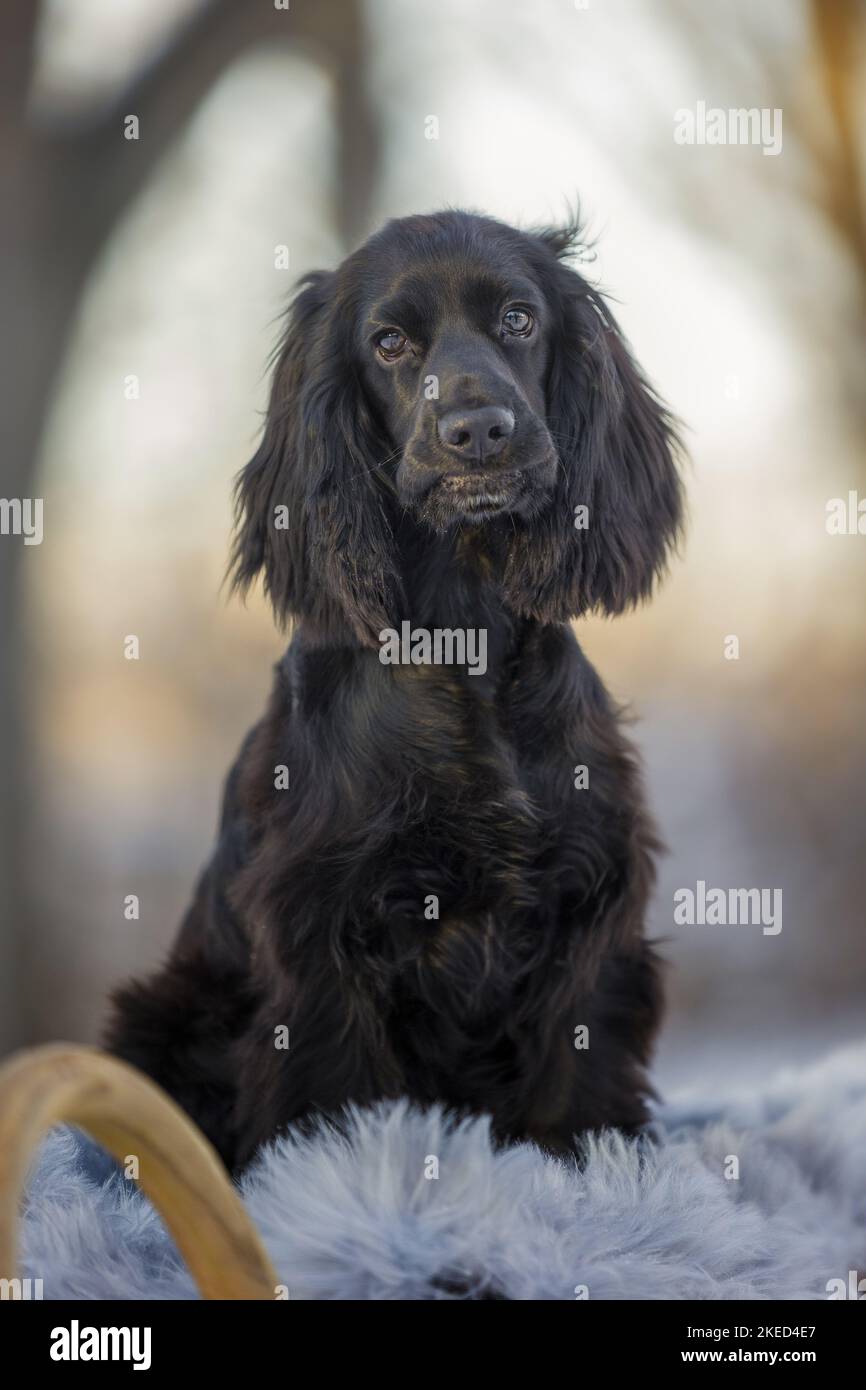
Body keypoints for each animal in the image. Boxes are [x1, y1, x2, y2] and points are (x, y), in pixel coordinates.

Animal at [104, 208, 683, 1173]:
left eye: (519, 319)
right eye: (389, 343)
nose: (479, 430)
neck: (465, 632)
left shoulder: (589, 904)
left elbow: (577, 1081)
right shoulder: (322, 930)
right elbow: (333, 1093)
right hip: (164, 1014)